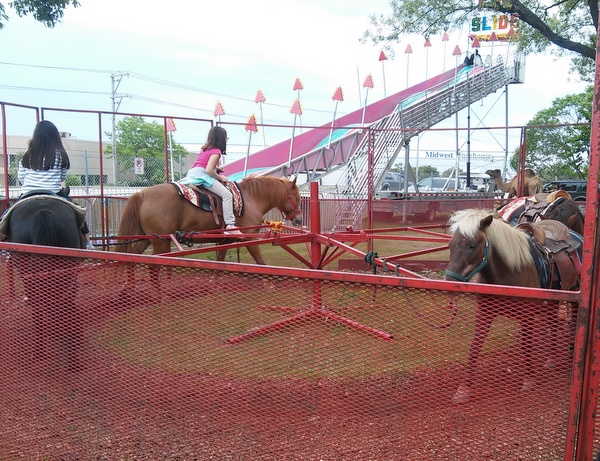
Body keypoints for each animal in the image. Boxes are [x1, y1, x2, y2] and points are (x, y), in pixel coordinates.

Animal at [116, 174, 304, 262]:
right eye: (297, 197)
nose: (299, 220)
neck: (251, 199)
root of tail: (141, 194)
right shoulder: (250, 238)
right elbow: (260, 261)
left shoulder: (225, 241)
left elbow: (220, 262)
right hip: (160, 242)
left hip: (146, 239)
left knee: (130, 257)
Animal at [446, 208, 580, 402]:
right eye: (450, 245)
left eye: (472, 245)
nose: (449, 281)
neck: (508, 273)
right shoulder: (484, 314)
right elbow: (475, 345)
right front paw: (463, 389)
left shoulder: (527, 317)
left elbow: (526, 345)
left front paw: (529, 379)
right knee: (553, 323)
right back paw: (552, 358)